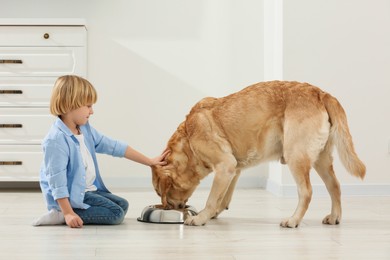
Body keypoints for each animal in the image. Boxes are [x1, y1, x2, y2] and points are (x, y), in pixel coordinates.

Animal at [152, 80, 366, 226]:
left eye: (159, 192)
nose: (166, 208)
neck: (188, 138)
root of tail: (320, 93)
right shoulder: (233, 168)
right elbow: (224, 196)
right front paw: (214, 213)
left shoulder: (225, 164)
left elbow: (212, 198)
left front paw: (201, 218)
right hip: (321, 159)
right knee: (335, 186)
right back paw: (335, 216)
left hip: (295, 155)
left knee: (306, 192)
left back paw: (293, 220)